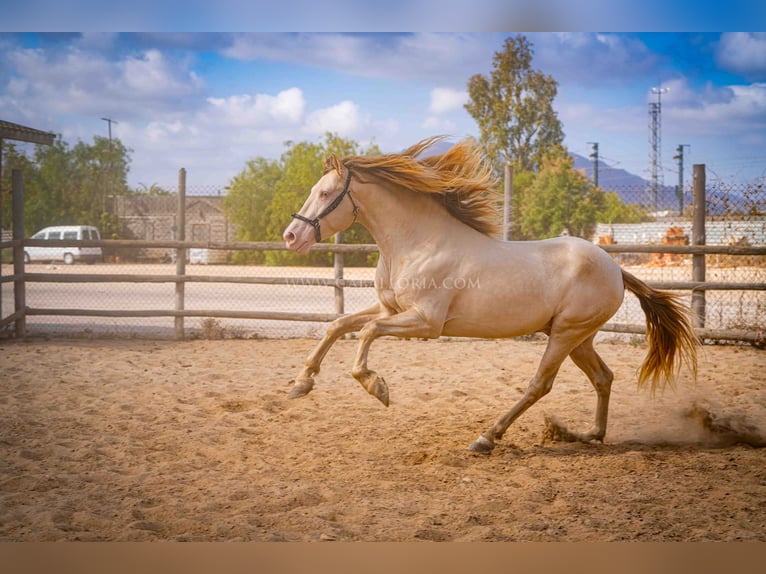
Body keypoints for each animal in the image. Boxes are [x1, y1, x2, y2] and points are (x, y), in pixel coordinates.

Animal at [284, 136, 704, 454]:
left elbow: (367, 332)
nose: (291, 237)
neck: (417, 244)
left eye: (325, 193)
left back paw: (486, 438)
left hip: (566, 333)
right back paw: (588, 435)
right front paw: (301, 384)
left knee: (540, 384)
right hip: (578, 337)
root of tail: (614, 268)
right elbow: (339, 325)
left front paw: (377, 387)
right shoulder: (390, 308)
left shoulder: (425, 322)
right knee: (603, 377)